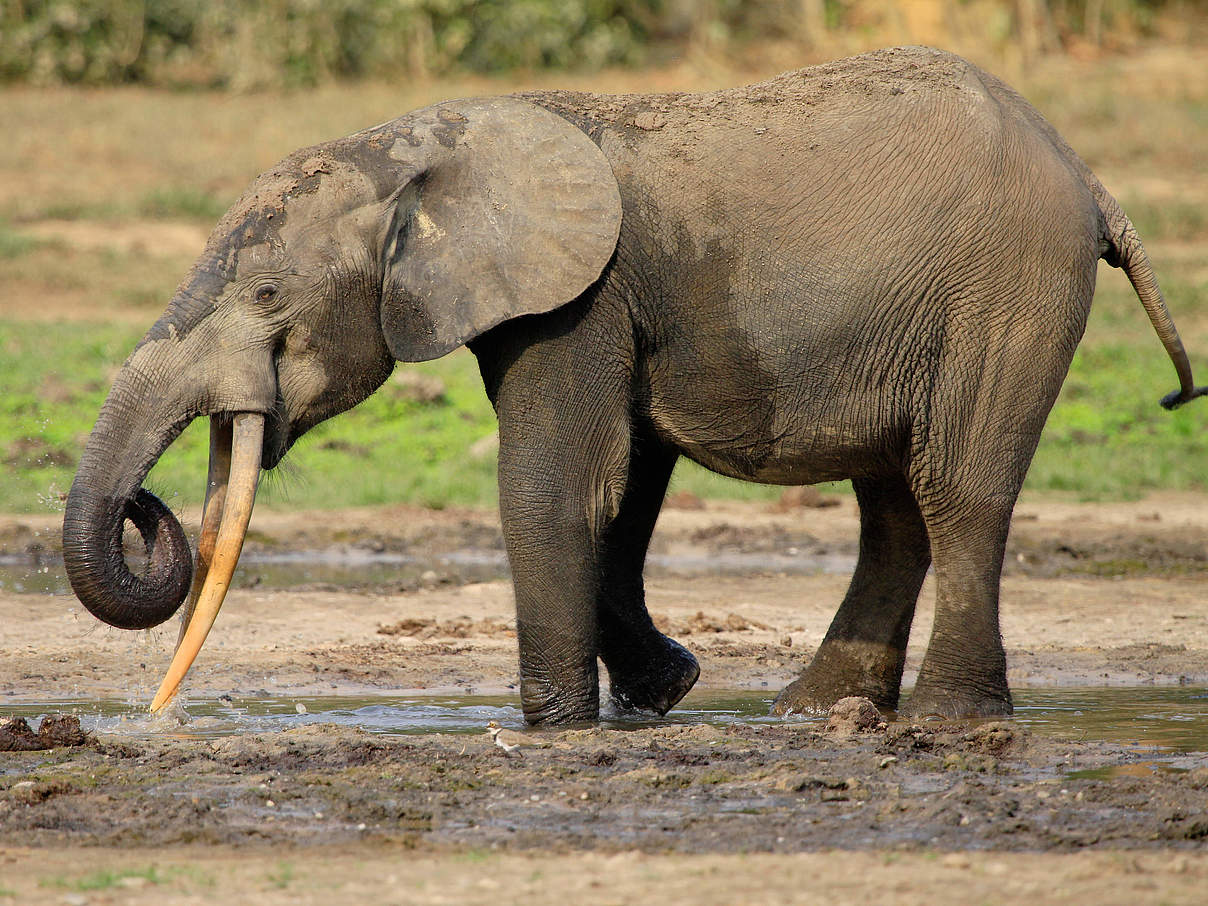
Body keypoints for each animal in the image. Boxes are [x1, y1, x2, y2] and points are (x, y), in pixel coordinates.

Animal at [61, 48, 1203, 729]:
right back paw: (814, 712)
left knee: (956, 488)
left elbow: (557, 483)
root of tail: (1087, 176)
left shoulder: (582, 295)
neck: (420, 144)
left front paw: (555, 730)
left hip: (1002, 295)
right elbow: (624, 485)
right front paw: (664, 694)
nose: (151, 508)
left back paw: (951, 722)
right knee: (895, 504)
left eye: (266, 295)